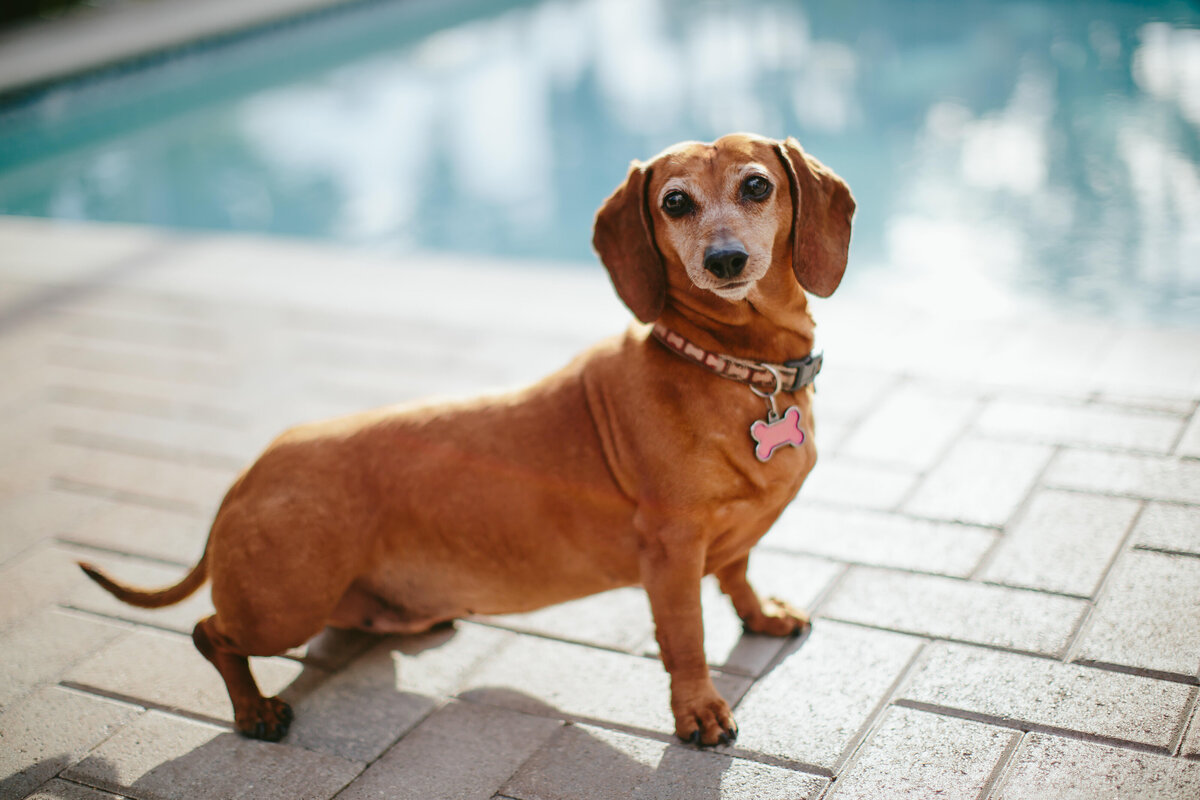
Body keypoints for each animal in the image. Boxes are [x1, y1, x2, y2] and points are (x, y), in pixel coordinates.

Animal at [79, 134, 854, 748]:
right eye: (674, 203)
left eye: (756, 185)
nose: (725, 261)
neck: (734, 365)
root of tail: (250, 473)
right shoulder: (671, 552)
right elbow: (687, 636)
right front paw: (698, 710)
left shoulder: (730, 540)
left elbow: (738, 574)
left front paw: (761, 615)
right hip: (282, 606)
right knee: (210, 633)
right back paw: (253, 710)